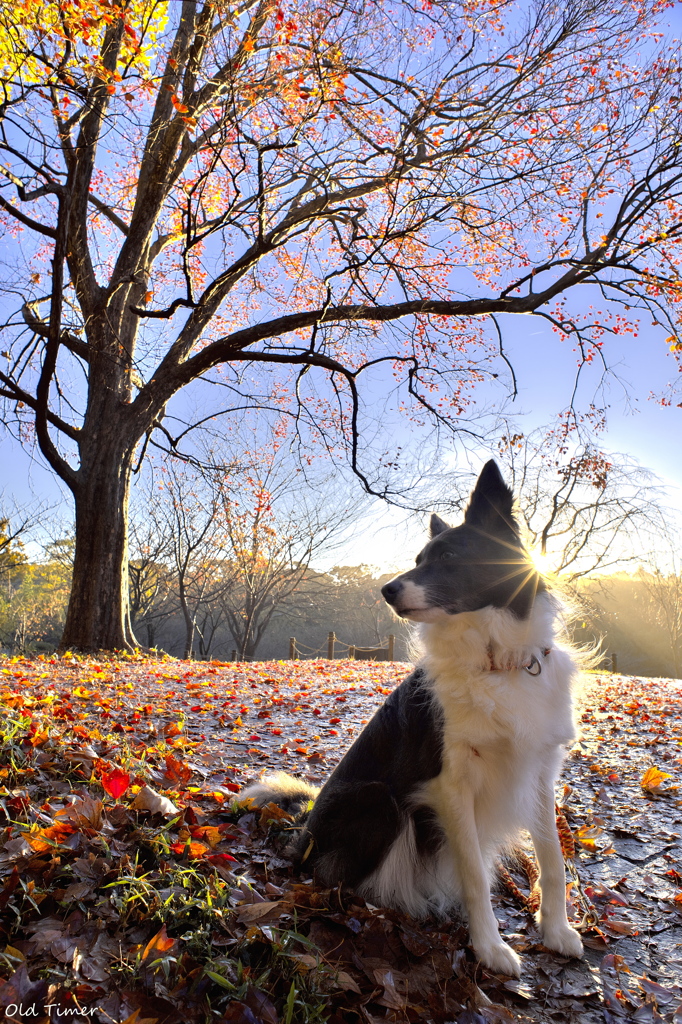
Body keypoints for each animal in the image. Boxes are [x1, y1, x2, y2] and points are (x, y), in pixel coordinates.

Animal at [238, 462, 577, 974]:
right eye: (418, 558)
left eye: (450, 555)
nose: (386, 589)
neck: (497, 661)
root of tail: (305, 827)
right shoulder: (450, 784)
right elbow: (475, 876)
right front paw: (490, 947)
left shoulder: (537, 770)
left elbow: (553, 860)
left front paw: (555, 930)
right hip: (377, 799)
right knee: (333, 878)